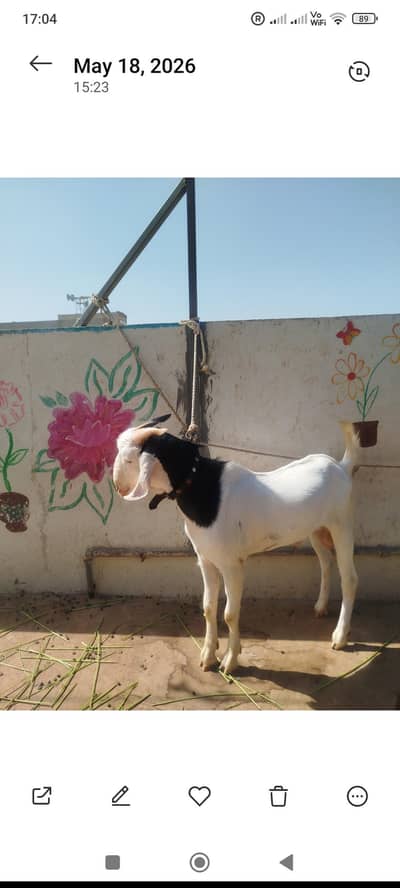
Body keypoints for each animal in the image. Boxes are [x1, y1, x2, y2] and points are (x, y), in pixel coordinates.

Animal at [113, 420, 359, 675]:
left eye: (129, 460)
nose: (118, 487)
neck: (202, 488)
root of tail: (341, 467)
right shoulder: (206, 559)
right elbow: (208, 607)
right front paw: (208, 655)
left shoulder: (232, 564)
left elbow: (230, 614)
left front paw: (230, 661)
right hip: (317, 530)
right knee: (326, 563)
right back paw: (320, 607)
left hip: (342, 525)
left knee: (349, 578)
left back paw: (340, 637)